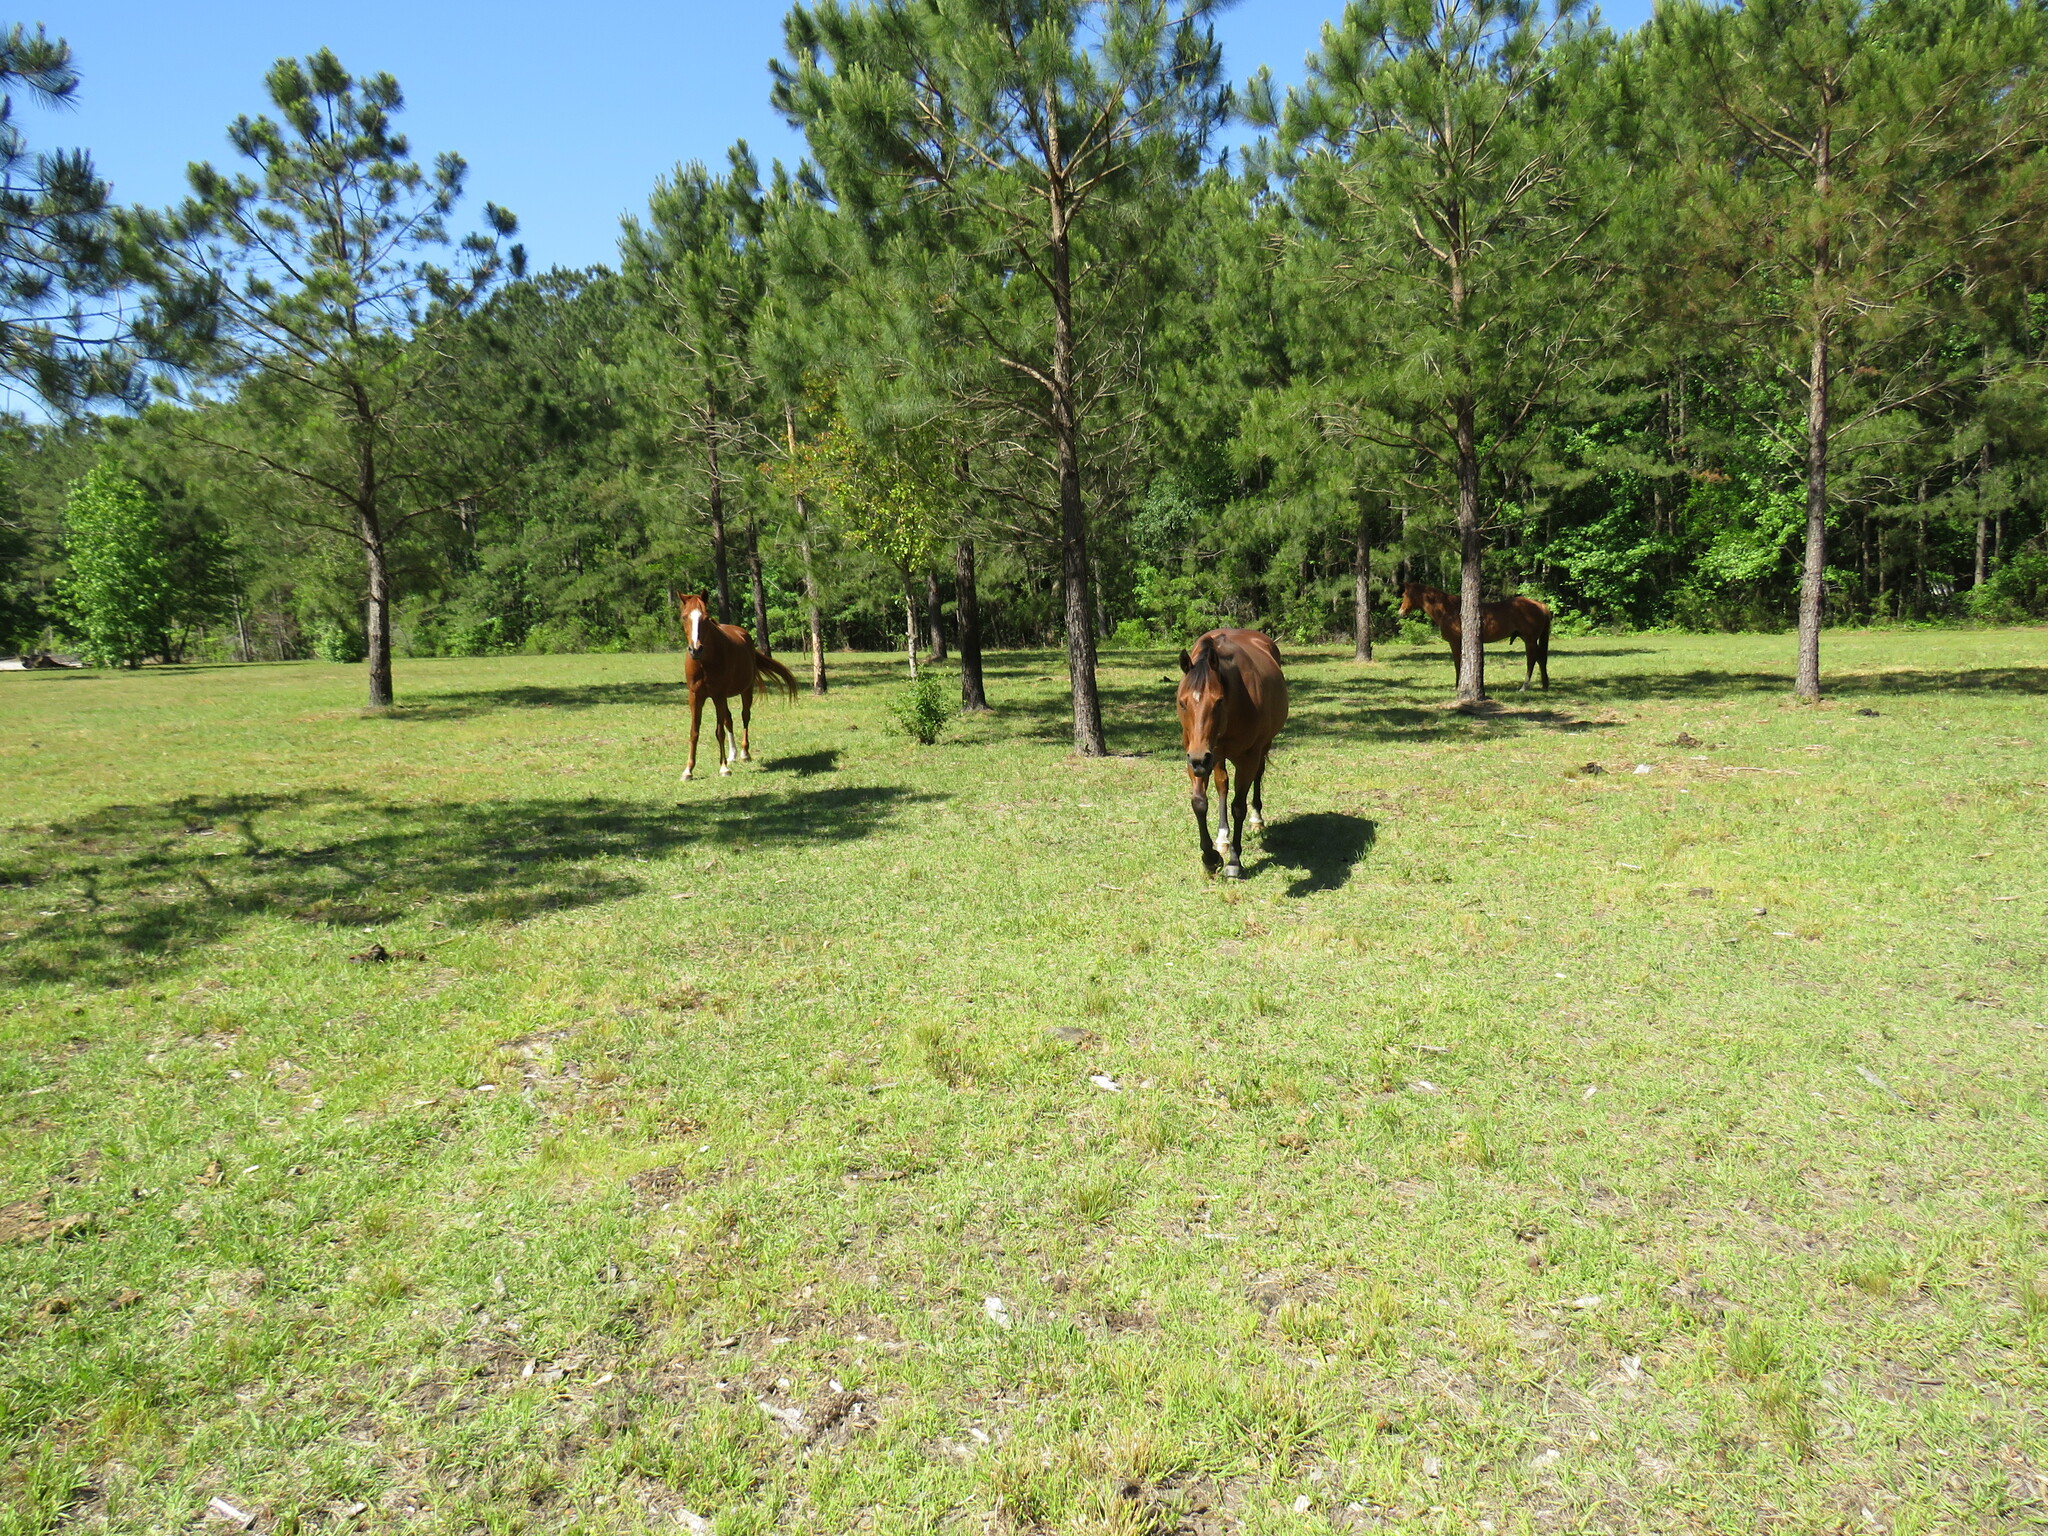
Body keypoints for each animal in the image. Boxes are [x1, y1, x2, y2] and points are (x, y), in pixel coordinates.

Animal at [675, 593, 794, 782]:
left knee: (745, 717)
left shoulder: (718, 695)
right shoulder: (695, 697)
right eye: (684, 617)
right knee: (728, 720)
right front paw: (688, 770)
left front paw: (723, 768)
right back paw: (732, 754)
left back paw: (744, 753)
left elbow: (719, 732)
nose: (696, 649)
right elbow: (694, 732)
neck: (704, 663)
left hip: (746, 691)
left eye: (706, 618)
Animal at [1179, 630, 1286, 884]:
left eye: (1218, 701)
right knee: (1222, 785)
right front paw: (1210, 857)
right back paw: (1222, 838)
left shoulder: (1248, 757)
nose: (1199, 759)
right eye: (1182, 702)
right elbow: (1199, 802)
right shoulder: (1196, 756)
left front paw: (1234, 862)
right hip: (1215, 757)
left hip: (1259, 748)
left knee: (1258, 775)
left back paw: (1257, 820)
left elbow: (1238, 806)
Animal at [1400, 581, 1556, 696]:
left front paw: (1458, 686)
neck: (1448, 609)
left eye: (1404, 594)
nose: (1401, 612)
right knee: (1541, 658)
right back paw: (1544, 684)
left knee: (1532, 659)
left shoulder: (1455, 642)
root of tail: (1541, 605)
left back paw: (1524, 686)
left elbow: (1458, 663)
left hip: (1529, 640)